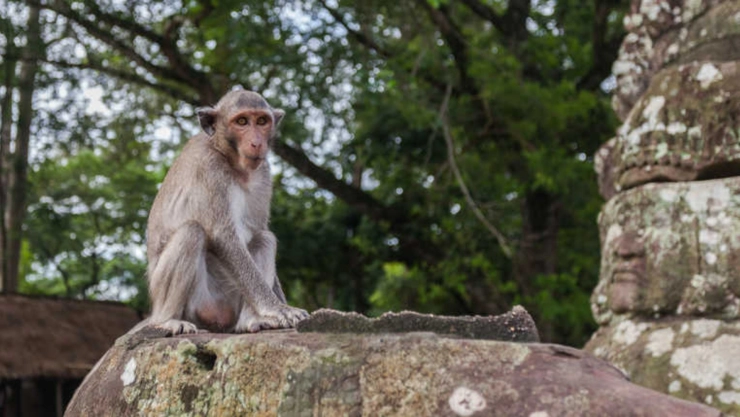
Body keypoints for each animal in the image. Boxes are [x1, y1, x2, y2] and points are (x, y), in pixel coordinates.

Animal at [143, 89, 308, 335]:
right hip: (195, 301)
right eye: (241, 122)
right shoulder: (209, 167)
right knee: (191, 232)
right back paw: (167, 320)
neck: (230, 158)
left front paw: (280, 305)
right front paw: (278, 308)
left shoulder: (263, 173)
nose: (256, 142)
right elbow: (222, 236)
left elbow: (258, 229)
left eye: (262, 121)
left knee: (264, 238)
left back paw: (250, 321)